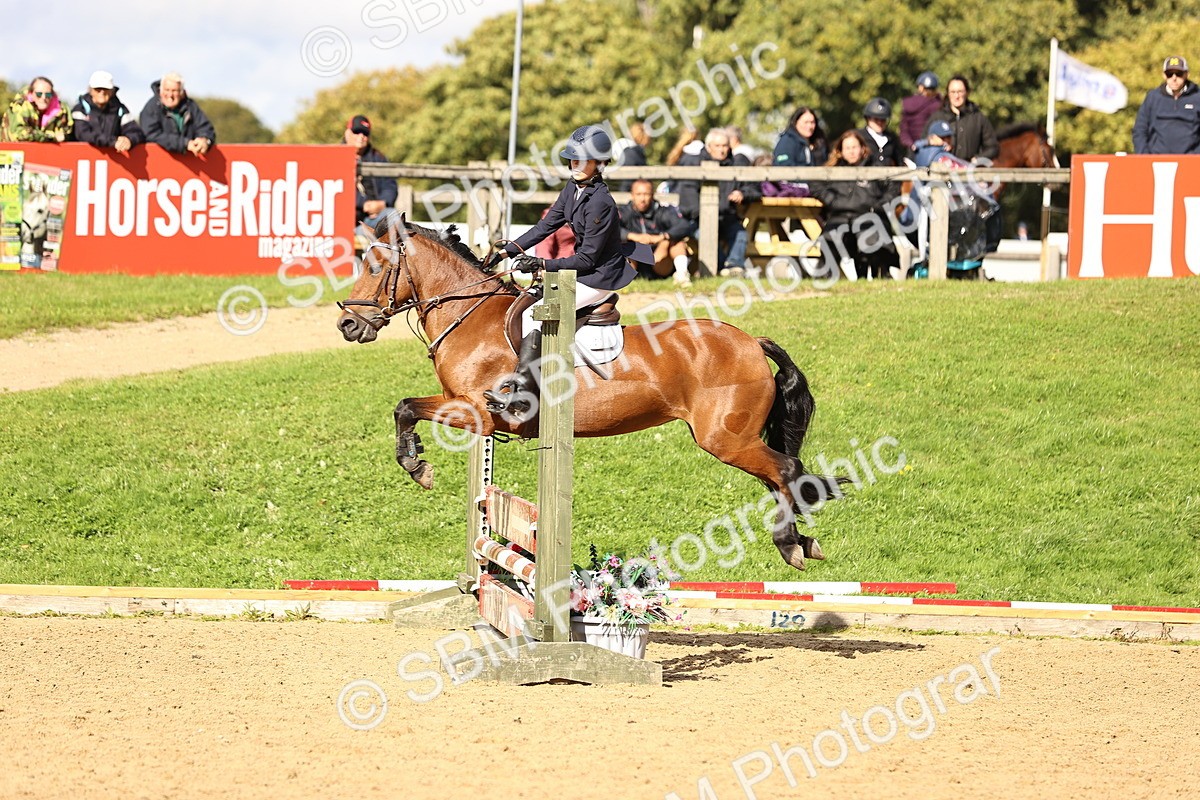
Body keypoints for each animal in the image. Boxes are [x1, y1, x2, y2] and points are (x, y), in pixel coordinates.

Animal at [336, 215, 845, 571]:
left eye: (377, 267)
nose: (347, 324)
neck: (471, 317)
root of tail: (751, 342)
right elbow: (406, 408)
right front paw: (417, 462)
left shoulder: (481, 412)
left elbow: (406, 408)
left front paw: (417, 467)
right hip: (739, 439)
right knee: (782, 477)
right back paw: (803, 542)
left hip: (726, 439)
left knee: (785, 471)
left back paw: (789, 546)